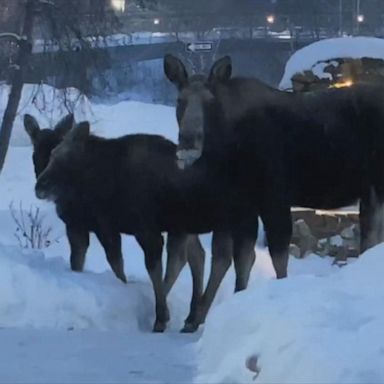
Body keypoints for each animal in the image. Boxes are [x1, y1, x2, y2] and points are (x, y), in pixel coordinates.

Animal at [25, 115, 206, 332]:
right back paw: (192, 318)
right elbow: (77, 262)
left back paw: (162, 316)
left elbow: (117, 265)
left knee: (172, 262)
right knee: (197, 255)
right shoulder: (78, 227)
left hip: (161, 225)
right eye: (35, 154)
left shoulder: (106, 226)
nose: (40, 186)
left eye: (63, 157)